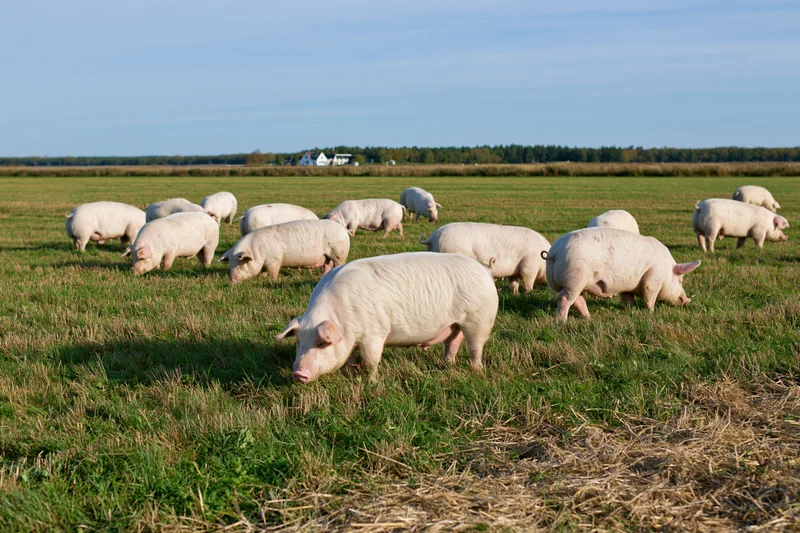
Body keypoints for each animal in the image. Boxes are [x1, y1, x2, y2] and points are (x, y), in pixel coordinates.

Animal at [219, 219, 351, 284]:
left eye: (241, 264)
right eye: (230, 264)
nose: (232, 280)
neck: (257, 251)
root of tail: (343, 230)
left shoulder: (274, 260)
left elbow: (273, 273)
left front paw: (272, 281)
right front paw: (262, 277)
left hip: (339, 253)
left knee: (338, 263)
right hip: (327, 256)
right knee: (327, 265)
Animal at [276, 252, 499, 383]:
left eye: (322, 343)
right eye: (299, 342)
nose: (298, 373)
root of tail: (485, 270)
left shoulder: (374, 334)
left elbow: (371, 361)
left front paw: (371, 382)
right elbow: (349, 360)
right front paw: (351, 376)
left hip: (478, 320)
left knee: (475, 347)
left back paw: (476, 371)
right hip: (455, 324)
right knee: (452, 343)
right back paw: (446, 365)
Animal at [420, 222, 550, 295]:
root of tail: (432, 237)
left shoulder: (515, 271)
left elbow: (513, 283)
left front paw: (515, 294)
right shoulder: (529, 265)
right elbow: (528, 282)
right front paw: (528, 294)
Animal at [543, 228, 701, 320]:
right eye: (680, 280)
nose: (687, 300)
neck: (667, 271)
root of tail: (554, 253)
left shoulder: (627, 288)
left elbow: (628, 299)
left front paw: (632, 312)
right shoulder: (653, 278)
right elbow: (649, 297)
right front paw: (651, 313)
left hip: (577, 283)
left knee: (578, 300)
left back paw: (588, 318)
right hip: (575, 279)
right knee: (565, 299)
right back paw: (562, 321)